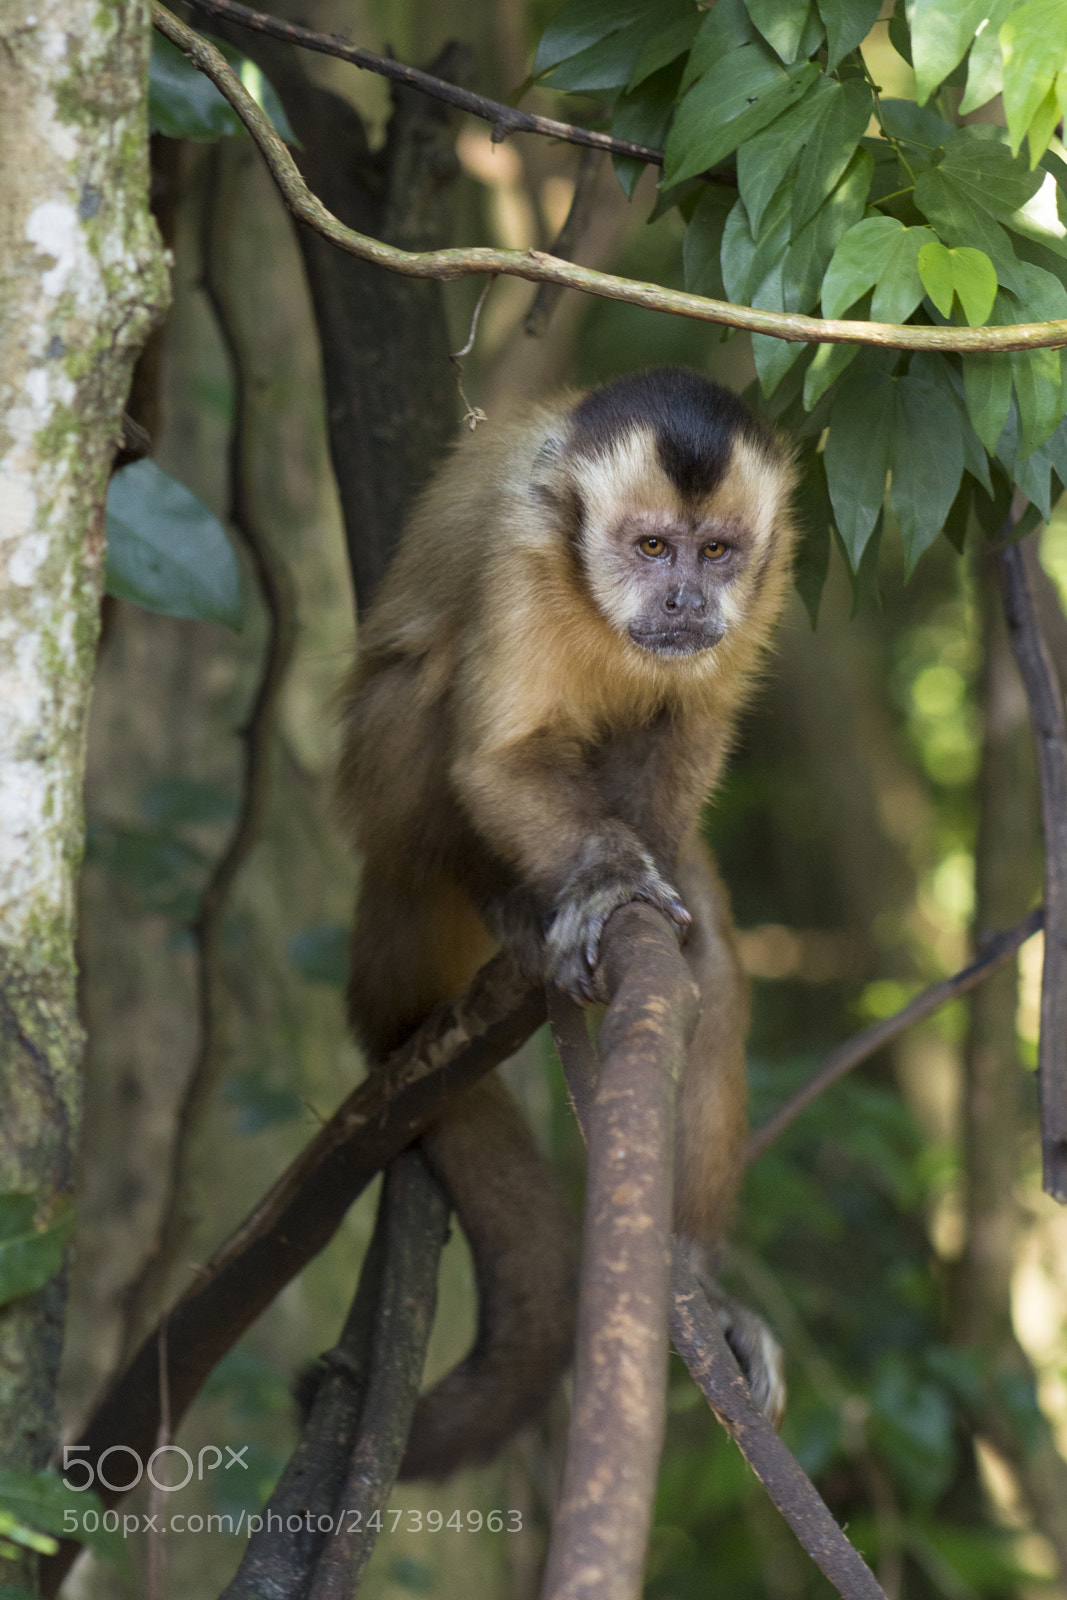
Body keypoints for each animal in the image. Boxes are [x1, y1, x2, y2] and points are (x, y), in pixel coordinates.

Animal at [337, 366, 798, 1478]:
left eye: (716, 552)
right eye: (650, 547)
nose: (683, 600)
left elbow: (688, 730)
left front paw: (645, 883)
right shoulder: (518, 547)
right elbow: (496, 758)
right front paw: (601, 880)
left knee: (709, 968)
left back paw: (691, 1272)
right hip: (378, 806)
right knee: (429, 690)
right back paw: (505, 899)